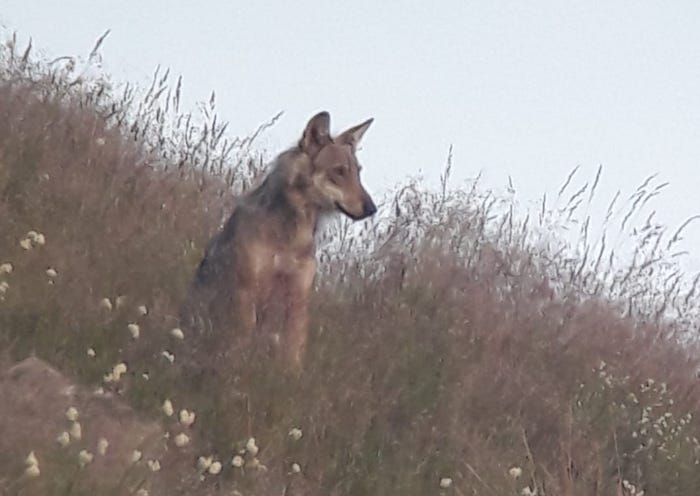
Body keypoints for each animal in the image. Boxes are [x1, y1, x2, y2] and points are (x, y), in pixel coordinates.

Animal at [182, 111, 377, 372]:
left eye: (358, 172)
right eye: (339, 171)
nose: (372, 209)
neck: (289, 237)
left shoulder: (298, 300)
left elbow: (294, 353)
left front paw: (289, 377)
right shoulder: (246, 292)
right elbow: (239, 344)